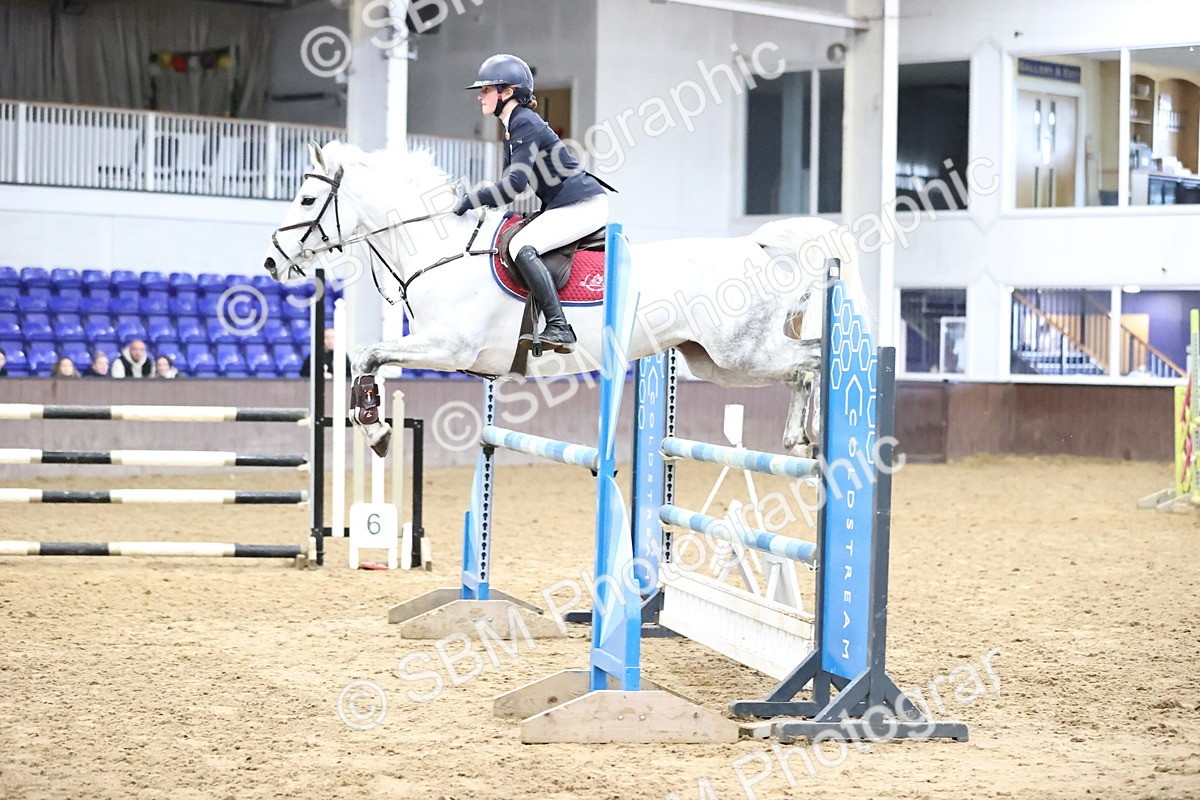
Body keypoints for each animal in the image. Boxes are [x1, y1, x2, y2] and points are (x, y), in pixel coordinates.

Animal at [263, 141, 866, 458]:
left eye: (309, 199)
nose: (272, 260)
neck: (439, 249)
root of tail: (753, 246)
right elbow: (365, 358)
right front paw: (375, 425)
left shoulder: (449, 348)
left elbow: (368, 355)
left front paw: (377, 429)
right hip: (717, 363)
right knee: (799, 368)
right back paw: (798, 439)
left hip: (743, 352)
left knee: (815, 360)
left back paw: (815, 437)